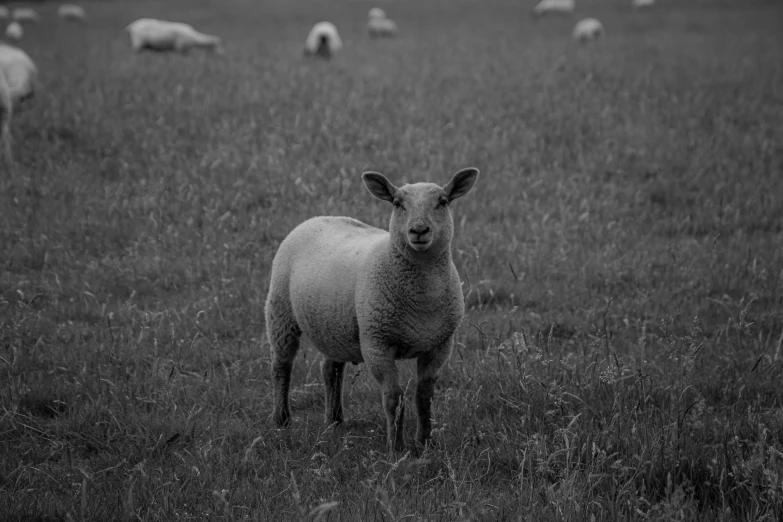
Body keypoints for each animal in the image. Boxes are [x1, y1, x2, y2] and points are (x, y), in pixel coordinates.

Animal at [266, 168, 480, 450]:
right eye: (397, 203)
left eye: (443, 202)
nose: (419, 230)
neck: (424, 301)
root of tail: (319, 217)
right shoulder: (377, 344)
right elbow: (393, 398)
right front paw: (396, 448)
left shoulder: (440, 345)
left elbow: (424, 396)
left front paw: (425, 443)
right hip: (280, 311)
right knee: (282, 366)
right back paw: (282, 421)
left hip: (333, 324)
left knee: (331, 368)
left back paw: (334, 420)